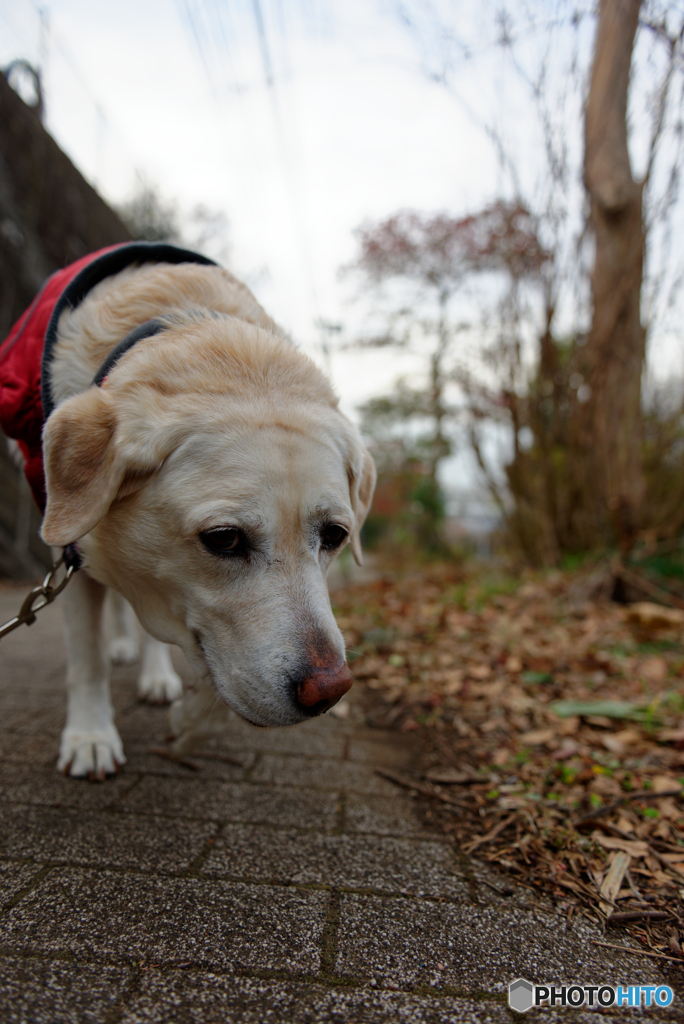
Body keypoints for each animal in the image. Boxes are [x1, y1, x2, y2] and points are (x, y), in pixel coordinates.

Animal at [0, 243, 374, 778]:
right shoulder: (70, 542)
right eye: (224, 538)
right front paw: (90, 737)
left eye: (335, 536)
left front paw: (190, 724)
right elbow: (87, 656)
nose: (330, 692)